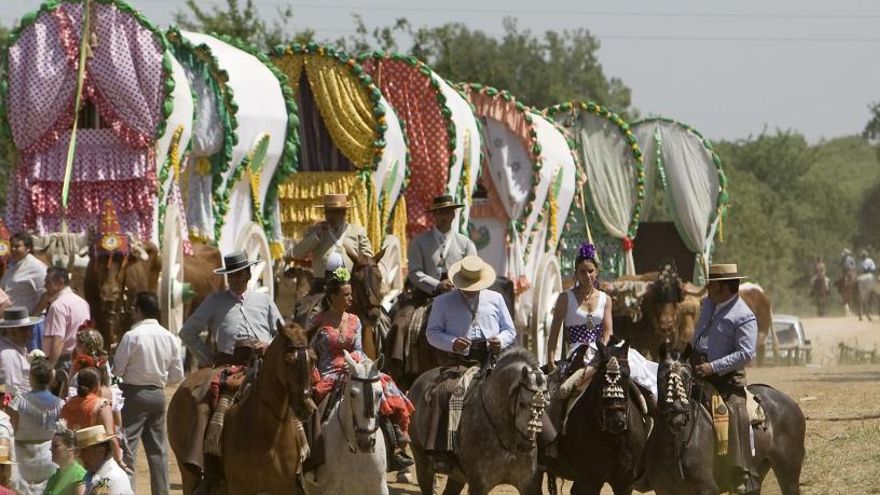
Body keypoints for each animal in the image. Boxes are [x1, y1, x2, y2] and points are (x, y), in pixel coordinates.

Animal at [167, 320, 318, 494]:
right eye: (288, 361)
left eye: (314, 359)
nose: (305, 407)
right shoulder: (239, 486)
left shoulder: (284, 487)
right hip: (188, 474)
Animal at [410, 348, 548, 495]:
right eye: (521, 403)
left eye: (545, 404)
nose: (525, 445)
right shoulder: (479, 485)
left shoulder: (529, 485)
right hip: (422, 462)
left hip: (456, 476)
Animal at [544, 340, 652, 495]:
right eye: (601, 376)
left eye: (626, 374)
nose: (616, 421)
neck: (614, 438)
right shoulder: (591, 481)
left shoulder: (624, 484)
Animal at [644, 342, 808, 494]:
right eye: (662, 377)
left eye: (687, 379)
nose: (677, 418)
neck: (675, 444)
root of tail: (791, 403)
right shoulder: (663, 489)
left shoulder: (707, 488)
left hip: (788, 473)